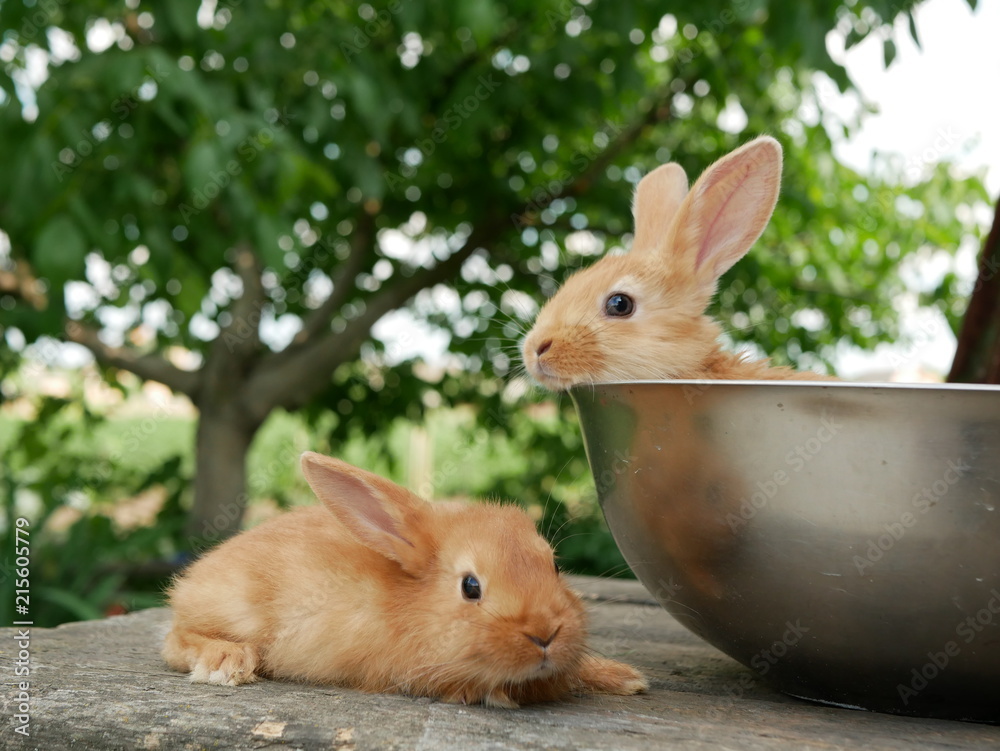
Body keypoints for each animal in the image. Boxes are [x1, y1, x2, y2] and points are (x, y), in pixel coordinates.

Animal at [162, 452, 648, 708]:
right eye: (471, 587)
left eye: (554, 567)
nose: (545, 633)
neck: (418, 607)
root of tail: (191, 581)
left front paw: (626, 678)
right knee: (175, 640)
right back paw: (226, 663)